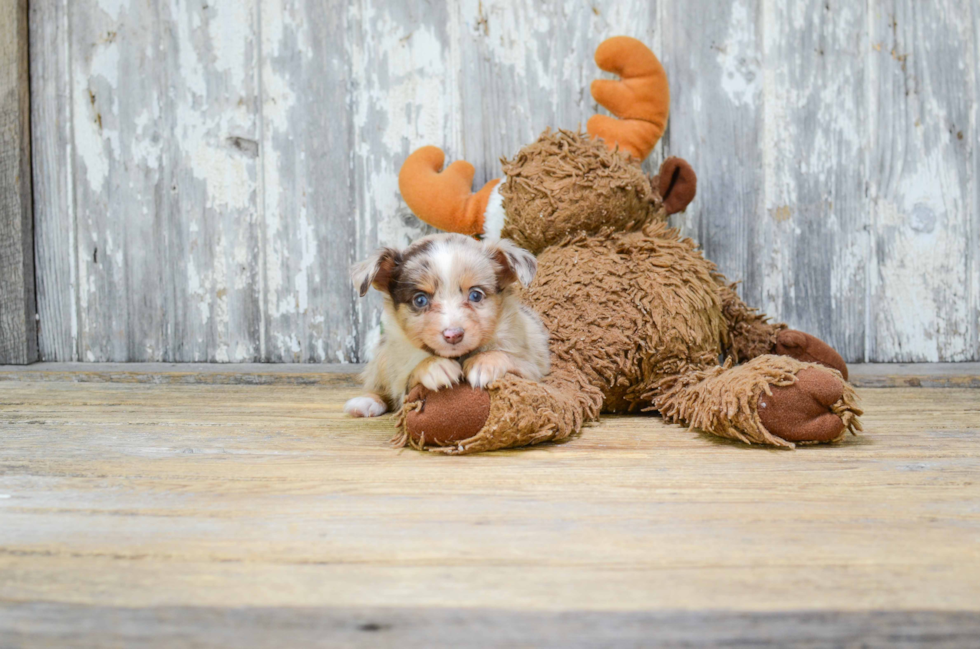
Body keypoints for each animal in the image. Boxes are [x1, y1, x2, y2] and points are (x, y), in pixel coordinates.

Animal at [344, 232, 548, 416]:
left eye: (476, 295)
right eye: (420, 300)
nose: (453, 335)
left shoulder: (532, 368)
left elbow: (508, 357)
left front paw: (484, 363)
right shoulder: (401, 380)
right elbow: (413, 374)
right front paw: (435, 366)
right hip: (383, 359)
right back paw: (366, 402)